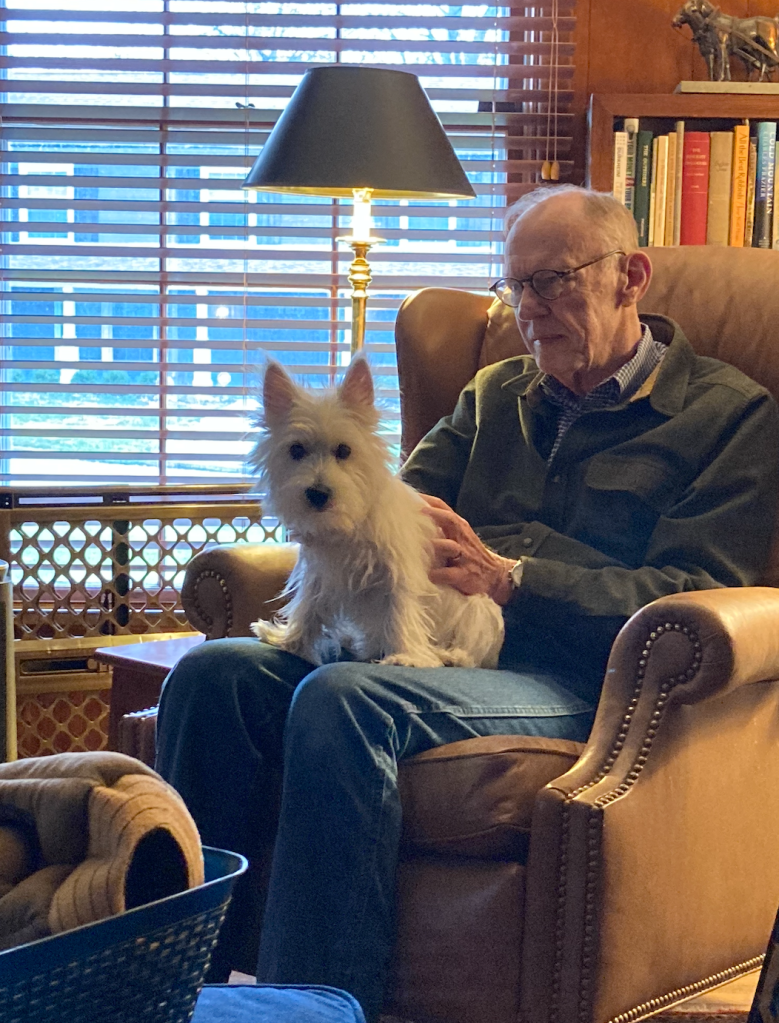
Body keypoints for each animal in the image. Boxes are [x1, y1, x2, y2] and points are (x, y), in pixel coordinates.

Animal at [248, 356, 505, 669]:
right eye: (296, 450)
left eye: (344, 450)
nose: (318, 493)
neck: (347, 525)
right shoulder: (320, 573)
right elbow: (307, 606)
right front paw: (290, 641)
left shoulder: (400, 571)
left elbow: (401, 610)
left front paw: (406, 656)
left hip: (478, 611)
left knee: (471, 650)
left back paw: (449, 654)